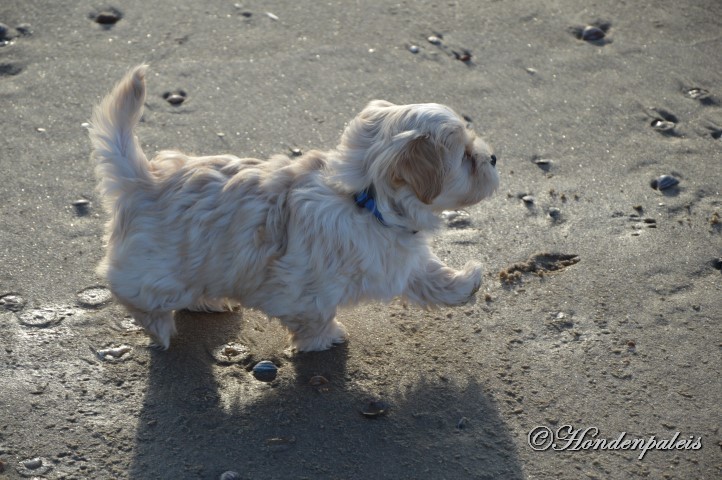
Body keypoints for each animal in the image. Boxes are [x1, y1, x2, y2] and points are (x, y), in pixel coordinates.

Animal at [87, 63, 498, 350]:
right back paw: (160, 328)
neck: (363, 198)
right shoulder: (301, 289)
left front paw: (465, 284)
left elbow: (428, 275)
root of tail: (144, 178)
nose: (493, 157)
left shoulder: (398, 255)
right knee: (132, 293)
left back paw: (208, 302)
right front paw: (324, 339)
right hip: (154, 270)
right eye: (465, 157)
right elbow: (314, 316)